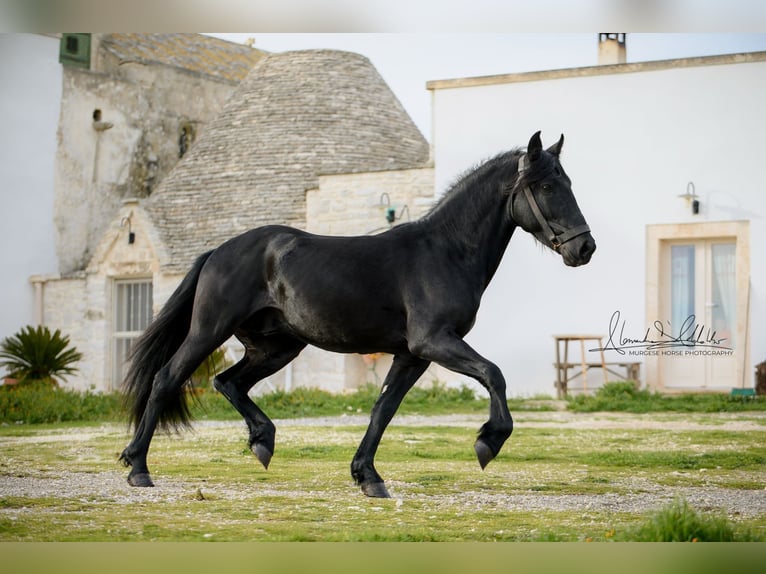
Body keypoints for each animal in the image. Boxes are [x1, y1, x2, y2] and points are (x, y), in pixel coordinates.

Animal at [119, 131, 596, 498]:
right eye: (548, 187)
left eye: (569, 182)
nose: (584, 248)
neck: (444, 252)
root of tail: (217, 252)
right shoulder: (434, 342)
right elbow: (493, 373)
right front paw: (488, 442)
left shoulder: (412, 355)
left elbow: (383, 409)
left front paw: (367, 476)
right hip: (209, 331)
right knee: (166, 379)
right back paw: (138, 468)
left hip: (277, 347)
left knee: (227, 382)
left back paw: (262, 442)